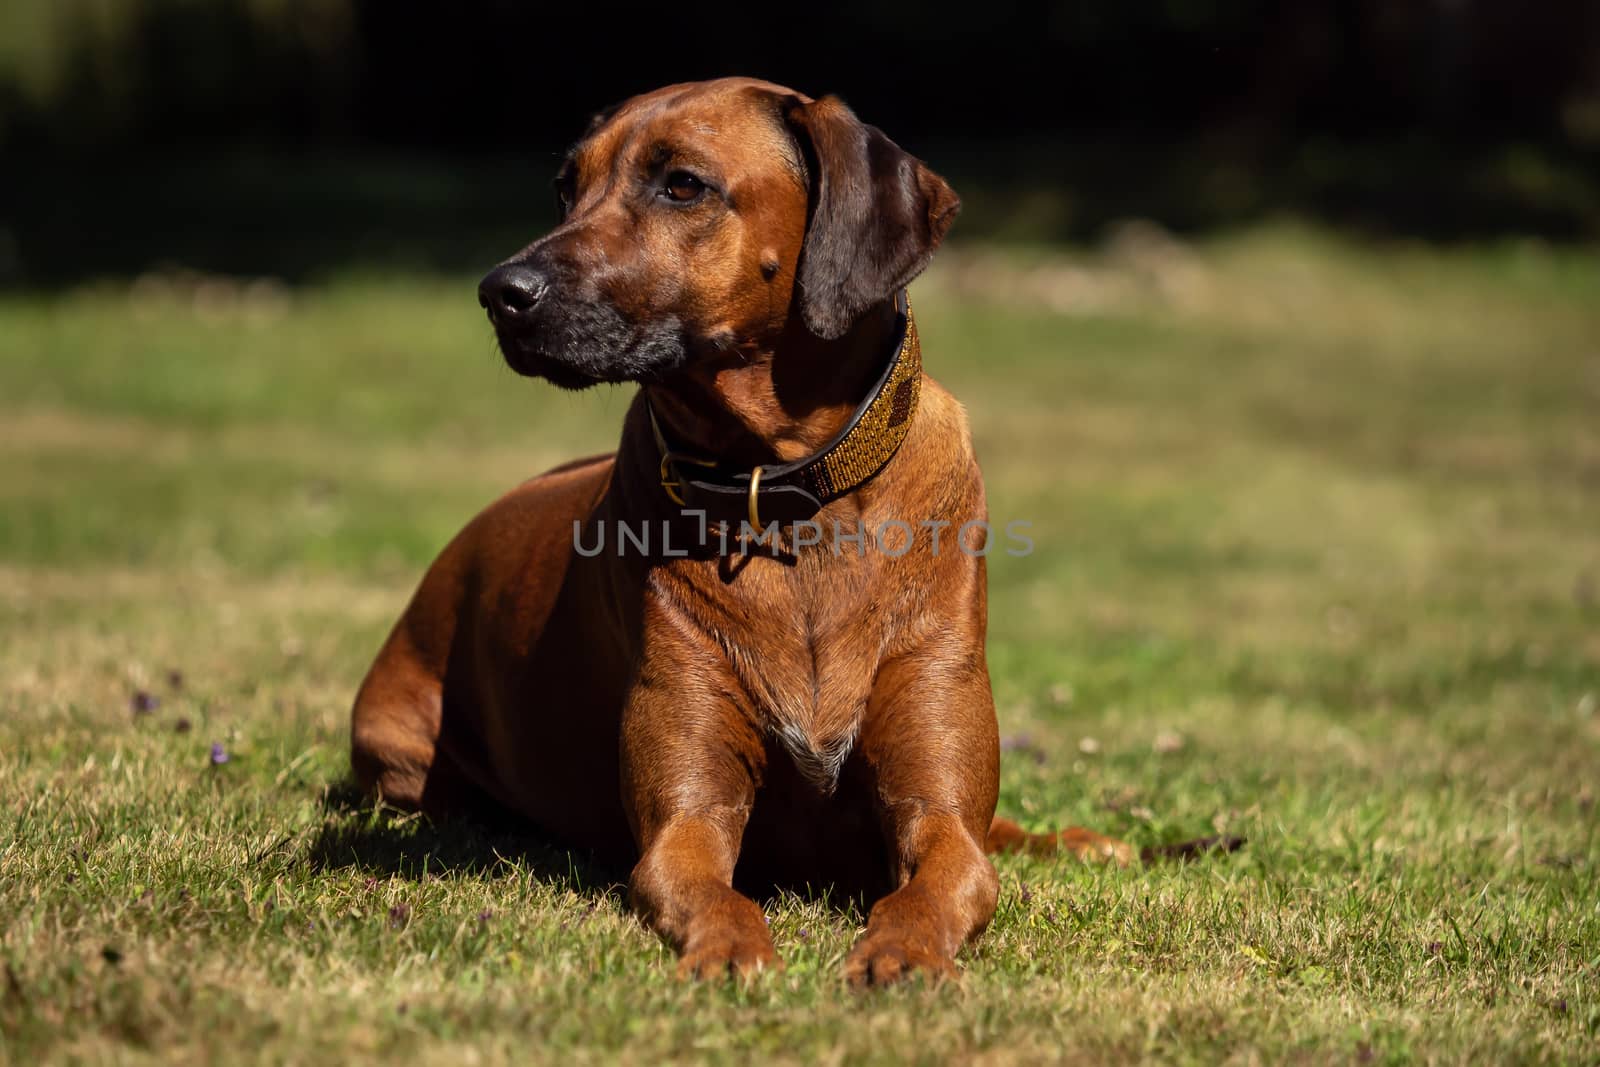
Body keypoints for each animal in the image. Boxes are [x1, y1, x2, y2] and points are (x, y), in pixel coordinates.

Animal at [353, 79, 1222, 991]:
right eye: (567, 188)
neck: (788, 497)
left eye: (683, 185)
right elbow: (706, 882)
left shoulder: (938, 804)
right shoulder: (686, 819)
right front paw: (730, 951)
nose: (499, 291)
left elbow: (948, 871)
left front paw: (904, 949)